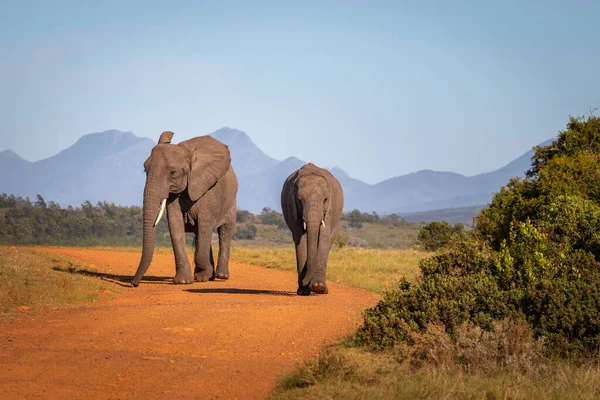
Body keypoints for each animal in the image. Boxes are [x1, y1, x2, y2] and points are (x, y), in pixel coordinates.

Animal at [131, 131, 237, 288]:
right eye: (145, 169)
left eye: (173, 172)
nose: (134, 284)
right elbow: (175, 226)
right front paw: (183, 281)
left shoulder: (209, 189)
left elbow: (205, 225)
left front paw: (202, 276)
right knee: (201, 235)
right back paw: (209, 275)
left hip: (231, 201)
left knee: (225, 231)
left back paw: (221, 276)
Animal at [280, 161, 342, 296]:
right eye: (299, 200)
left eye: (325, 199)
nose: (305, 282)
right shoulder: (293, 208)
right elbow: (301, 239)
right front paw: (304, 291)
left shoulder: (329, 209)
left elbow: (323, 237)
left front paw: (318, 287)